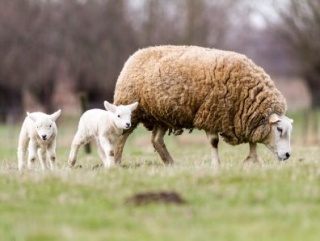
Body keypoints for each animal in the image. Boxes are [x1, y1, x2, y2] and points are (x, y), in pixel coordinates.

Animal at [112, 44, 292, 166]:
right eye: (279, 129)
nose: (288, 155)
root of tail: (135, 54)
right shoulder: (212, 115)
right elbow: (214, 142)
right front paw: (216, 165)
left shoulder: (243, 118)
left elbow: (252, 141)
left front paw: (252, 160)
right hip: (130, 109)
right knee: (122, 136)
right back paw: (116, 161)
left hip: (162, 114)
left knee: (156, 140)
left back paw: (172, 164)